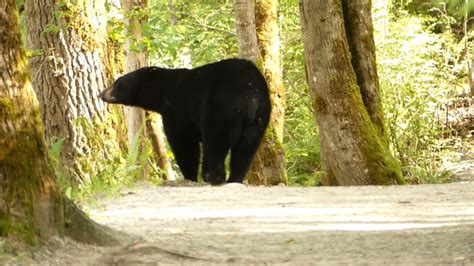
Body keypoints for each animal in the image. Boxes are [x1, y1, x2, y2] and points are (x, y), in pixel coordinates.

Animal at [100, 58, 270, 185]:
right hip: (258, 120)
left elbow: (183, 143)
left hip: (221, 107)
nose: (101, 93)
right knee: (245, 149)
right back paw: (235, 178)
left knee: (215, 140)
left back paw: (212, 176)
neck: (163, 92)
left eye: (117, 83)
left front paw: (190, 176)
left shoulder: (177, 109)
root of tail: (252, 96)